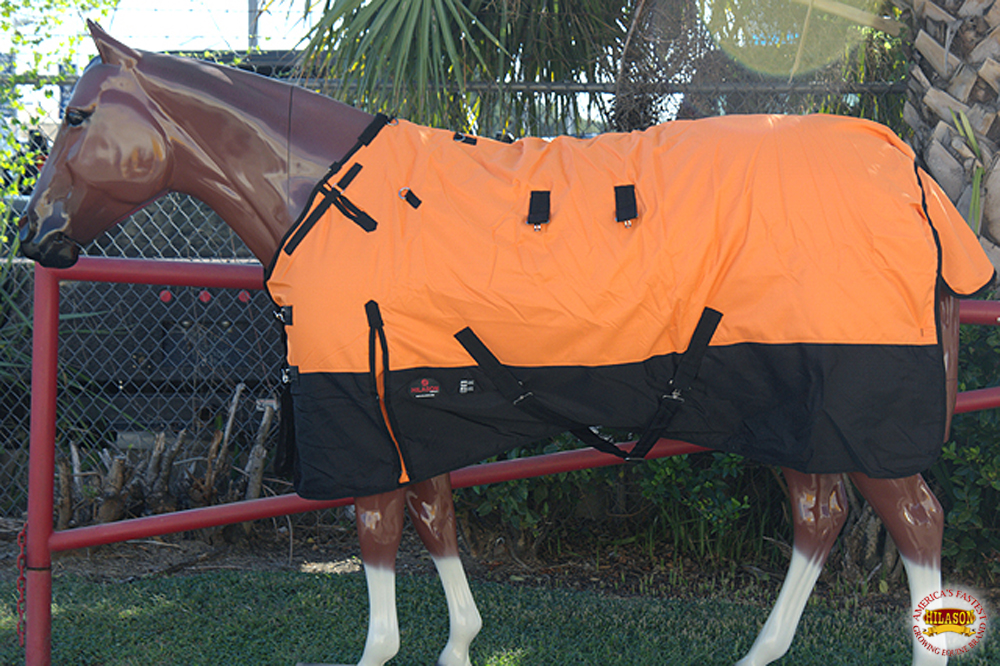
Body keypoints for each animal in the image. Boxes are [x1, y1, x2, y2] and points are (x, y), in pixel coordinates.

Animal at [18, 21, 989, 666]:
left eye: (78, 115)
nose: (35, 235)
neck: (330, 196)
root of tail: (909, 176)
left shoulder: (361, 404)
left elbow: (377, 528)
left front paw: (386, 649)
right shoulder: (410, 401)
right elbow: (433, 516)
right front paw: (460, 643)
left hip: (851, 403)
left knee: (915, 519)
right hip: (787, 410)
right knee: (821, 514)